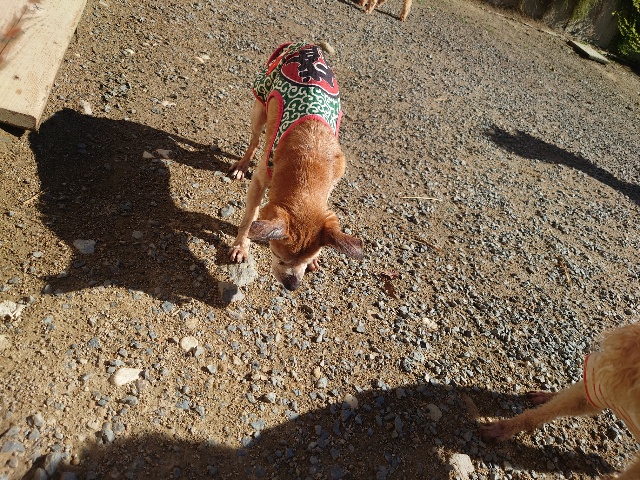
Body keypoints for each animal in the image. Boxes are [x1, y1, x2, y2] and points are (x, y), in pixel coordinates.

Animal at [227, 42, 363, 291]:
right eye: (279, 257)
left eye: (307, 260)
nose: (292, 286)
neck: (310, 162)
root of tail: (307, 44)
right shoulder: (260, 180)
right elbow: (249, 218)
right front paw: (241, 246)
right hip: (260, 105)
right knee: (254, 140)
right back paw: (241, 165)